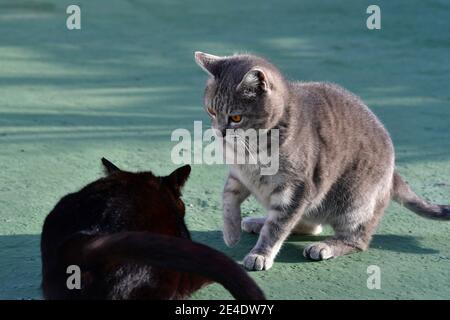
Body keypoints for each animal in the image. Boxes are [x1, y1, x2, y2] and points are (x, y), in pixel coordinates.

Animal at [193, 51, 450, 272]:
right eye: (211, 111)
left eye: (236, 117)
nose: (219, 132)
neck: (251, 151)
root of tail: (393, 172)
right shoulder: (238, 176)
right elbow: (228, 199)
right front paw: (231, 233)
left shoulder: (295, 189)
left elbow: (276, 228)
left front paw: (260, 254)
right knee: (309, 224)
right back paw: (258, 221)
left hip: (354, 203)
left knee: (356, 239)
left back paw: (324, 246)